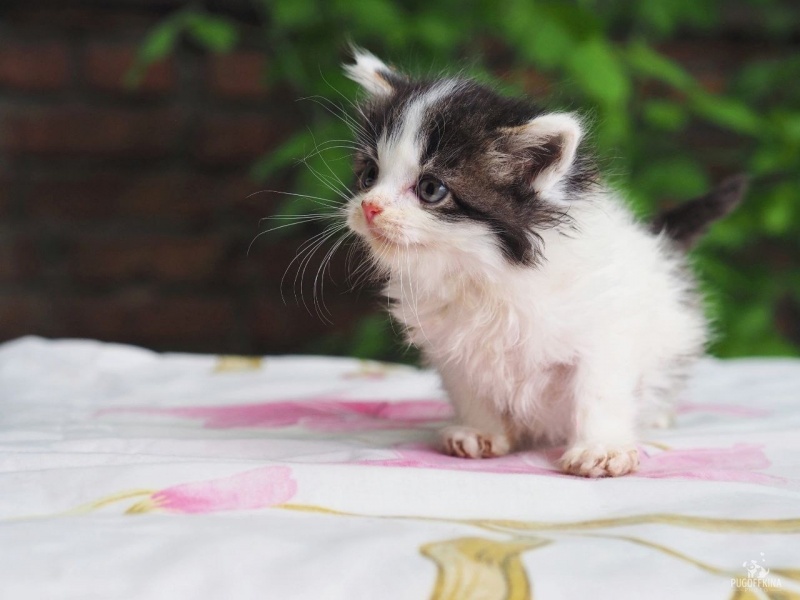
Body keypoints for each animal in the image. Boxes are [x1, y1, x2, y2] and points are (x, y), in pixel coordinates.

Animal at [341, 49, 744, 477]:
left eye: (431, 188)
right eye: (369, 175)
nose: (369, 207)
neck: (483, 272)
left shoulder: (605, 329)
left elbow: (598, 390)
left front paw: (601, 449)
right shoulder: (451, 344)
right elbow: (470, 388)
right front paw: (481, 433)